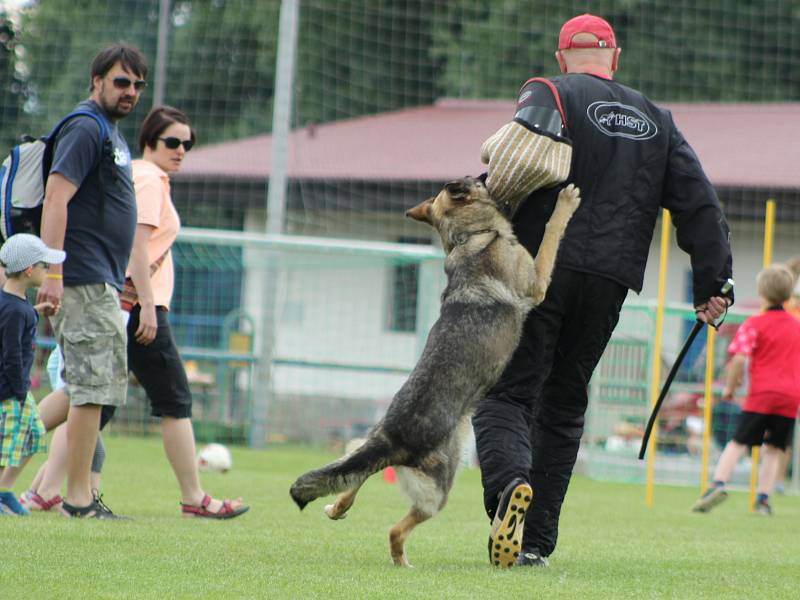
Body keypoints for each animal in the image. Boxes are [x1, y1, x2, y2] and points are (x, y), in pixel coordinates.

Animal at [290, 176, 580, 564]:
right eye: (479, 179)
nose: (488, 174)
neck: (469, 236)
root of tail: (393, 438)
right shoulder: (537, 283)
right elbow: (551, 235)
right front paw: (565, 203)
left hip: (364, 446)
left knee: (357, 478)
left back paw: (338, 507)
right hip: (442, 484)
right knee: (396, 529)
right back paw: (402, 562)